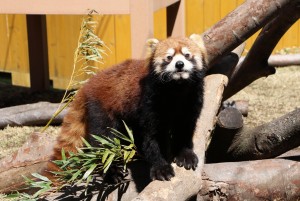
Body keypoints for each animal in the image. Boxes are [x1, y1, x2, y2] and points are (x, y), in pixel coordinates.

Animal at [48, 35, 207, 181]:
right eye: (169, 57)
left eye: (187, 55)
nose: (179, 64)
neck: (177, 90)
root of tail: (87, 85)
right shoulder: (150, 102)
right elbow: (152, 137)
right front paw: (161, 167)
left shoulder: (191, 102)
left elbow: (185, 130)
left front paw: (185, 155)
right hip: (102, 109)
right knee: (103, 141)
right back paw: (112, 172)